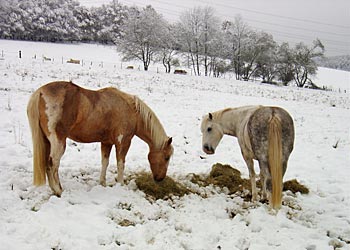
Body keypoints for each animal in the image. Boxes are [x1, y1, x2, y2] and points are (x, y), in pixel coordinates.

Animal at [27, 81, 174, 196]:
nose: (160, 179)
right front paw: (121, 184)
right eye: (166, 157)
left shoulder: (106, 142)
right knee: (52, 163)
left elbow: (105, 162)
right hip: (58, 142)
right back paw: (58, 190)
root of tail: (40, 93)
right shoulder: (123, 142)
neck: (131, 110)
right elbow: (121, 164)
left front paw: (102, 183)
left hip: (47, 141)